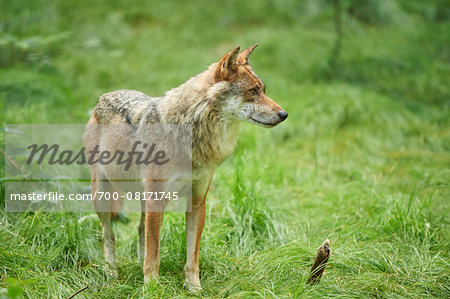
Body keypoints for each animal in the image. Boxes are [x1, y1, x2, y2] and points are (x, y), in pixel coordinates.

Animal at [83, 44, 288, 292]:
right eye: (253, 91)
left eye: (263, 90)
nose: (284, 114)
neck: (193, 135)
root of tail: (104, 96)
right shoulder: (156, 201)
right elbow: (154, 255)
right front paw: (152, 288)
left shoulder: (198, 202)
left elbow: (192, 255)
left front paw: (194, 289)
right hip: (103, 195)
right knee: (108, 234)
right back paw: (111, 272)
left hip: (142, 198)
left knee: (140, 231)